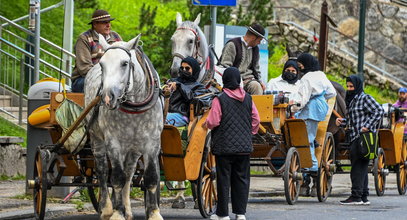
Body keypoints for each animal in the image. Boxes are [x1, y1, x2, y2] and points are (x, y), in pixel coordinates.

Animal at [85, 34, 164, 220]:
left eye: (124, 63)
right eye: (102, 64)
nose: (107, 97)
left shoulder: (152, 143)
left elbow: (151, 177)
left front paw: (153, 213)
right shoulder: (113, 142)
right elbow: (116, 178)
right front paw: (116, 213)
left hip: (133, 148)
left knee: (129, 172)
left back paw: (127, 208)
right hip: (97, 139)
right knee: (103, 171)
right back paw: (107, 208)